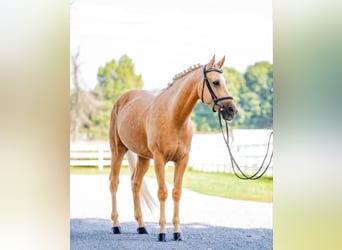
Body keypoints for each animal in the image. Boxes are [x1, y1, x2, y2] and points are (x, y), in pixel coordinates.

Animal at [109, 55, 238, 242]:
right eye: (215, 82)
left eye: (225, 81)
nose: (231, 110)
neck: (174, 118)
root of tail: (122, 99)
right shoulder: (159, 159)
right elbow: (162, 193)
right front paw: (162, 233)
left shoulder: (182, 160)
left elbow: (177, 192)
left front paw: (177, 233)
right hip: (117, 150)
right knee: (114, 182)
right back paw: (116, 225)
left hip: (143, 157)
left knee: (136, 184)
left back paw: (141, 227)